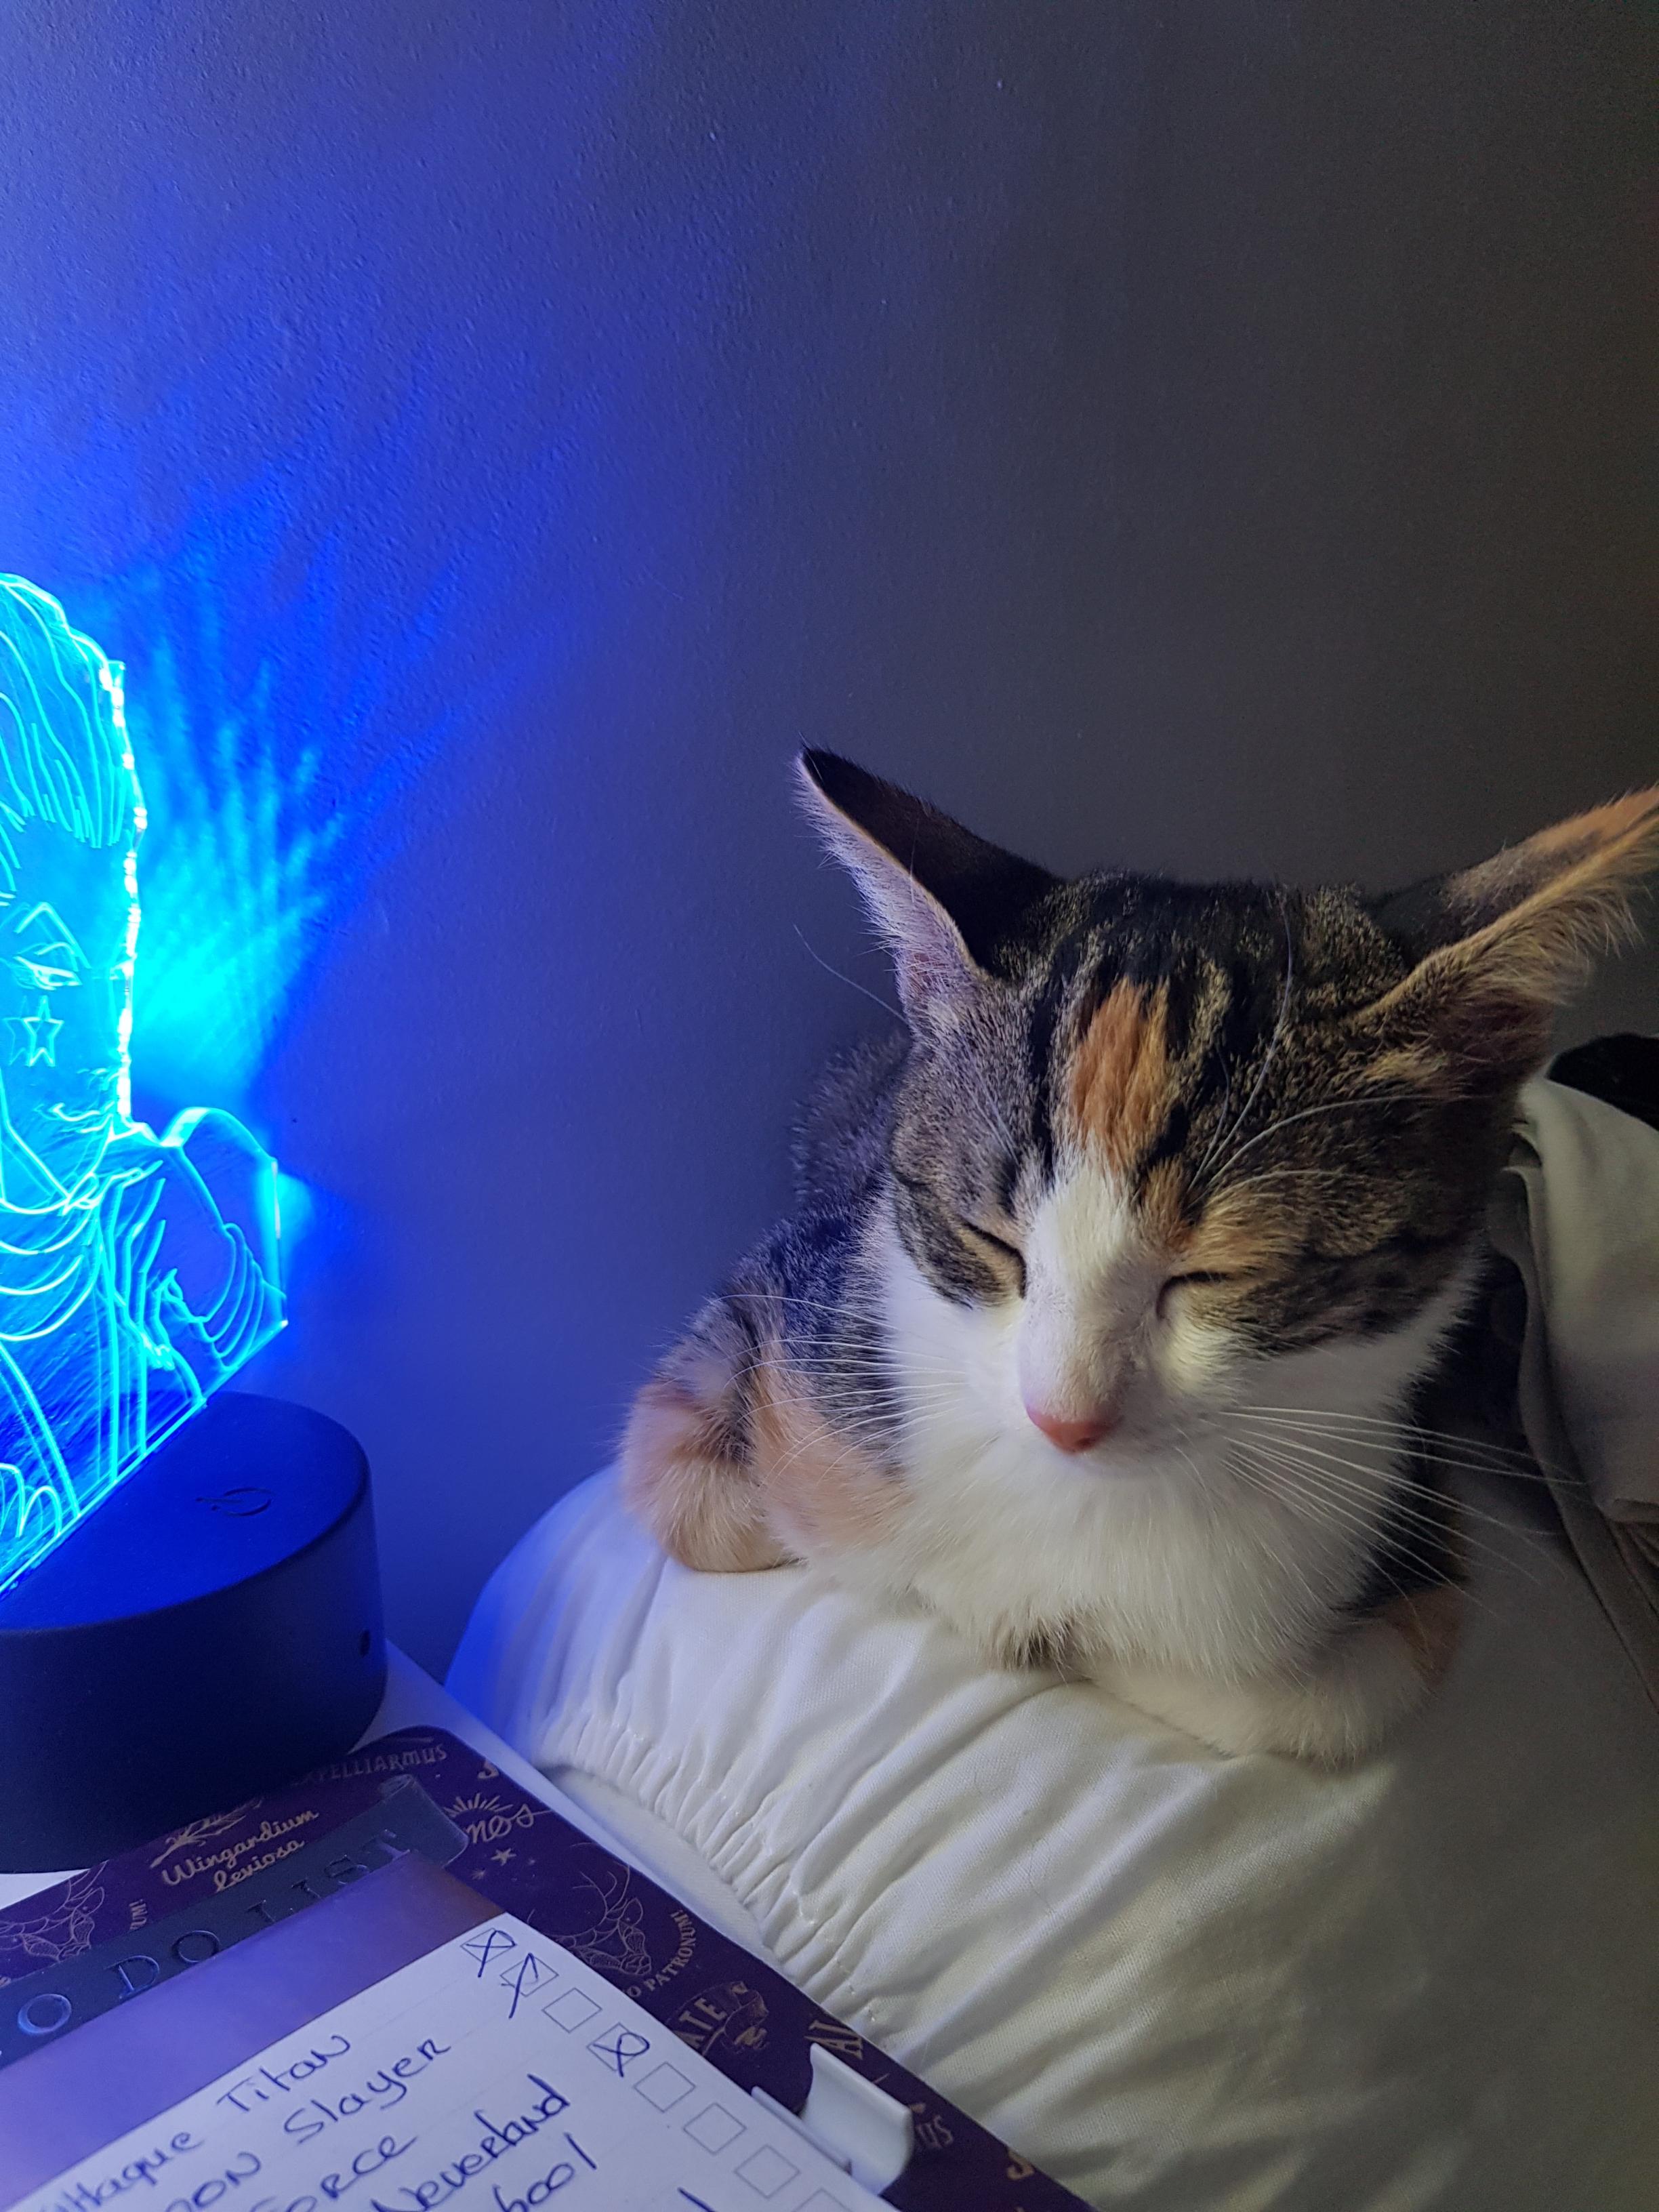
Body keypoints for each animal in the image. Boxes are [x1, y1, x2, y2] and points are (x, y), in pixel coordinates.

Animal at [623, 753, 1659, 1761]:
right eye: (989, 1239)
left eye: (1219, 1273)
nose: (1063, 1419)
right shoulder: (798, 1302)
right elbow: (691, 1498)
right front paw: (986, 1604)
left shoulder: (1410, 1488)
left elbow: (1325, 1705)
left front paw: (1069, 1639)